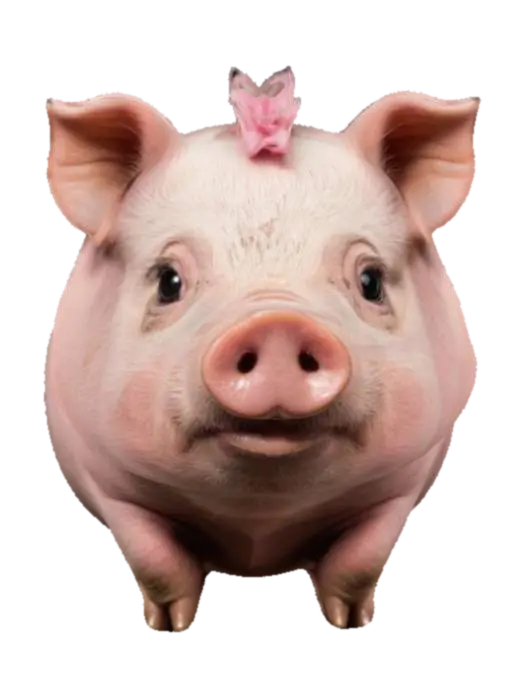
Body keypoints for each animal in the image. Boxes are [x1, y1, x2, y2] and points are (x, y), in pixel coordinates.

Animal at [43, 88, 480, 634]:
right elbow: (157, 562)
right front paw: (171, 626)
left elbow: (359, 562)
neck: (260, 526)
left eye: (371, 281)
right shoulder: (99, 468)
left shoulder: (411, 470)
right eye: (168, 280)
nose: (277, 323)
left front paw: (352, 623)